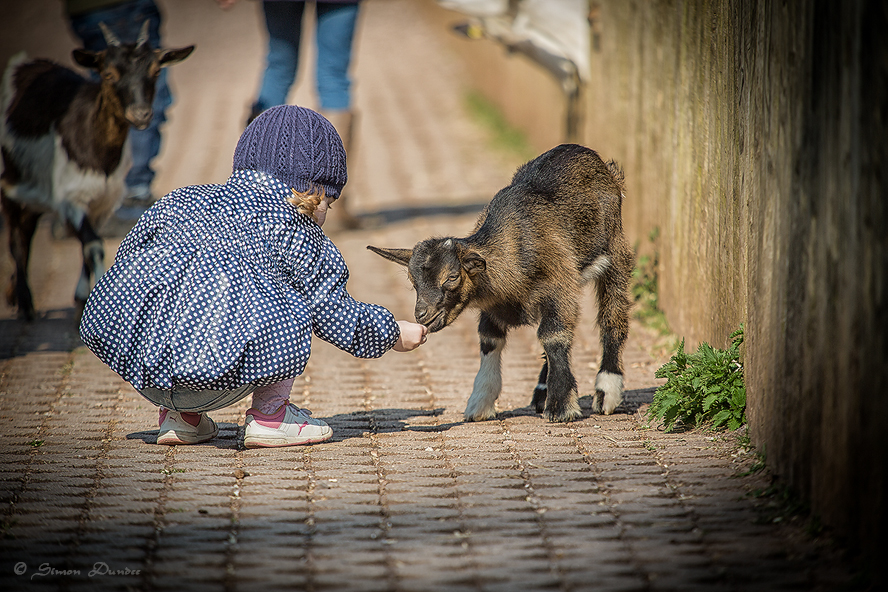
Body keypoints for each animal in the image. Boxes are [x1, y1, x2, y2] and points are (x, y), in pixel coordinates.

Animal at [0, 22, 193, 320]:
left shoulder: (104, 201)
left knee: (27, 229)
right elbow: (93, 245)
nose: (140, 115)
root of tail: (24, 63)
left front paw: (82, 297)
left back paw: (15, 293)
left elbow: (90, 245)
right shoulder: (71, 197)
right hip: (11, 179)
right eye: (108, 74)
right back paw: (24, 302)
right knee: (14, 235)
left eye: (156, 71)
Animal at [372, 143, 636, 420]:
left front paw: (561, 406)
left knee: (612, 317)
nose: (422, 315)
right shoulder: (494, 303)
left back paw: (606, 392)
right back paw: (542, 392)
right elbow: (489, 339)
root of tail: (600, 163)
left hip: (616, 252)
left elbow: (553, 336)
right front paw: (480, 403)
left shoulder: (559, 285)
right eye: (412, 280)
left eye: (452, 277)